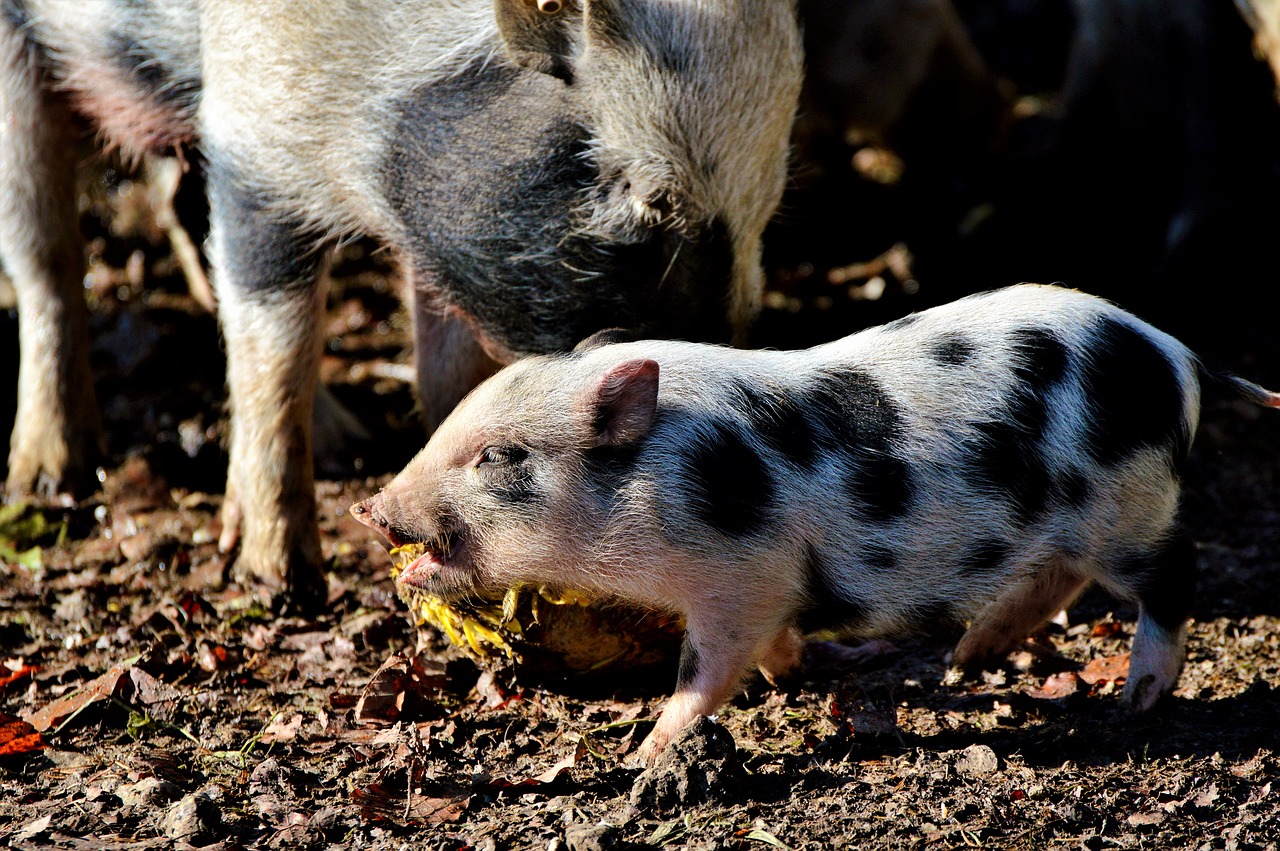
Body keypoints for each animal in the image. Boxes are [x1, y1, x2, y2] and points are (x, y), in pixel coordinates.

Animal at [0, 1, 798, 611]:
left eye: (766, 207)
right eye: (647, 200)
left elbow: (446, 368)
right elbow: (275, 354)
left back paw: (342, 442)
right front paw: (282, 585)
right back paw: (49, 479)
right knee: (47, 253)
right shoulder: (252, 136)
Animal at [350, 281, 1280, 757]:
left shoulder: (739, 578)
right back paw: (968, 657)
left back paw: (1136, 702)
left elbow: (703, 670)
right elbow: (768, 647)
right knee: (1055, 577)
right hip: (1075, 521)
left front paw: (644, 755)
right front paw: (790, 675)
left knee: (1173, 572)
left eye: (502, 456)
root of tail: (1176, 351)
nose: (369, 505)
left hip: (1130, 508)